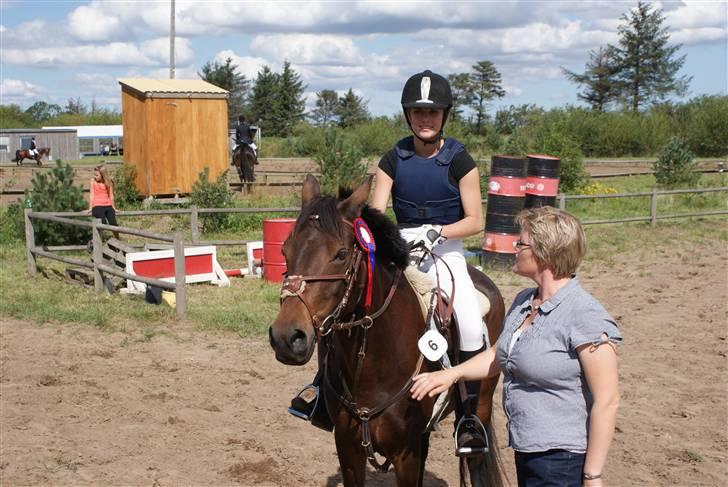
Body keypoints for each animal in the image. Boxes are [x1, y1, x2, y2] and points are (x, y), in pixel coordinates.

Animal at [268, 176, 506, 487]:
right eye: (284, 250)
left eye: (341, 254)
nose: (286, 339)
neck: (372, 363)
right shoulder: (348, 448)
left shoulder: (405, 454)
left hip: (482, 404)